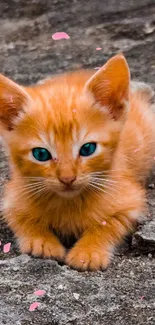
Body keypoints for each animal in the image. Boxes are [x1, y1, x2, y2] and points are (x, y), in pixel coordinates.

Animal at [0, 54, 155, 270]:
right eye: (41, 154)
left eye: (87, 149)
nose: (67, 178)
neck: (69, 202)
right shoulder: (12, 197)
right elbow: (22, 218)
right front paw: (42, 242)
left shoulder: (130, 199)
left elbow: (110, 224)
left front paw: (88, 251)